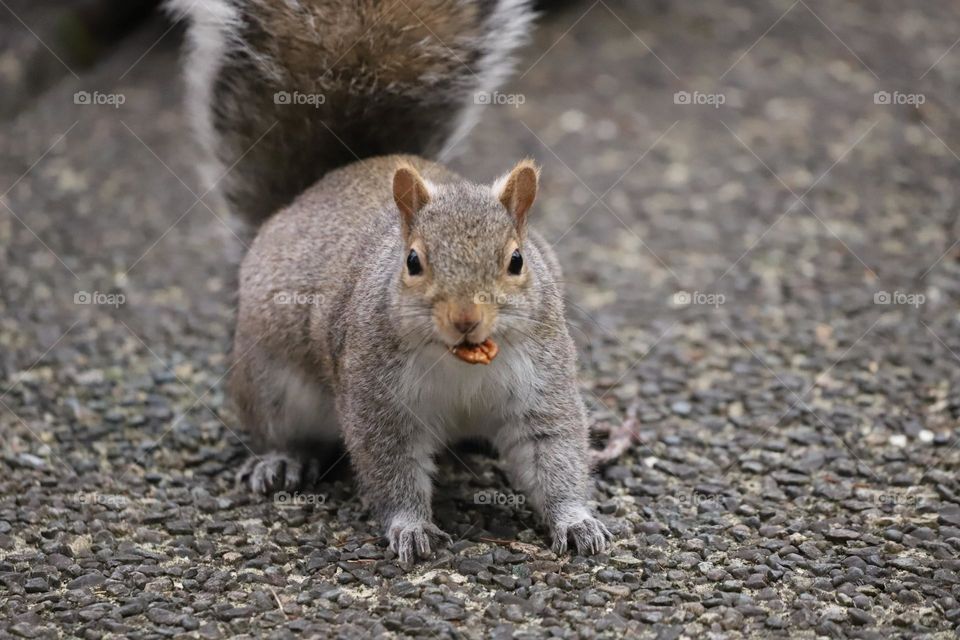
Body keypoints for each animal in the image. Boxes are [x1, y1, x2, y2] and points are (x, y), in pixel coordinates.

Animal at [169, 0, 612, 560]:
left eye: (516, 261)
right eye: (413, 262)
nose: (465, 319)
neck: (459, 362)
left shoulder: (541, 383)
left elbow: (553, 452)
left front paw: (577, 521)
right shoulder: (375, 397)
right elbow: (390, 465)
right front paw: (410, 527)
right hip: (266, 377)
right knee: (274, 425)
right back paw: (281, 459)